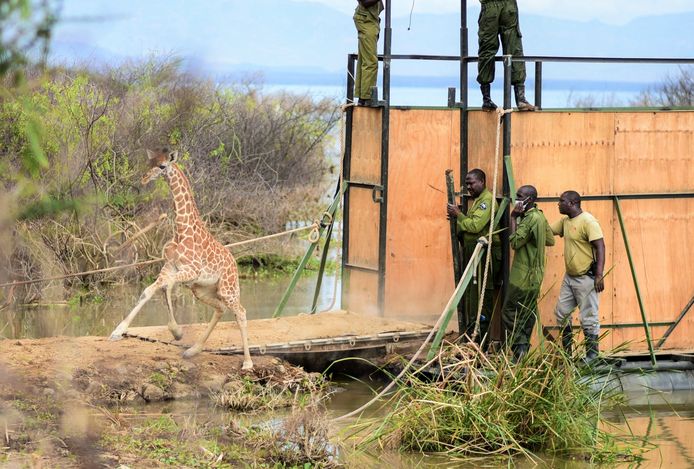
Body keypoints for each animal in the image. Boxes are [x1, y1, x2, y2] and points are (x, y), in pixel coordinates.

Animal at [111, 148, 256, 368]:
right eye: (149, 163)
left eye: (162, 166)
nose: (144, 178)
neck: (180, 229)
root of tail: (234, 263)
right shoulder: (169, 267)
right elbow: (148, 291)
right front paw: (117, 331)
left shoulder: (190, 270)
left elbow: (167, 286)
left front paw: (176, 332)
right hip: (202, 290)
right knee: (220, 308)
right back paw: (193, 350)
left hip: (227, 289)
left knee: (241, 312)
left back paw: (247, 362)